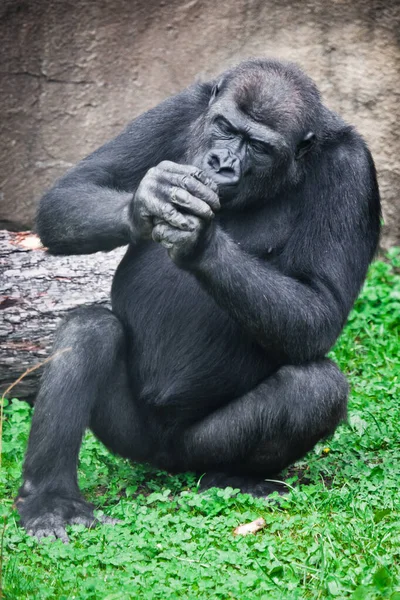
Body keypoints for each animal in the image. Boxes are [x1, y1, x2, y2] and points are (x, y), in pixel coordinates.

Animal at [16, 58, 378, 540]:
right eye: (224, 127)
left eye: (258, 147)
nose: (221, 162)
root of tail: (164, 459)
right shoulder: (183, 105)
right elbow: (71, 192)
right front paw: (148, 201)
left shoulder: (352, 170)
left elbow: (320, 307)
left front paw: (201, 244)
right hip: (128, 438)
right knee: (88, 329)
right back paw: (51, 500)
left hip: (196, 447)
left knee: (314, 388)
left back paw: (236, 476)